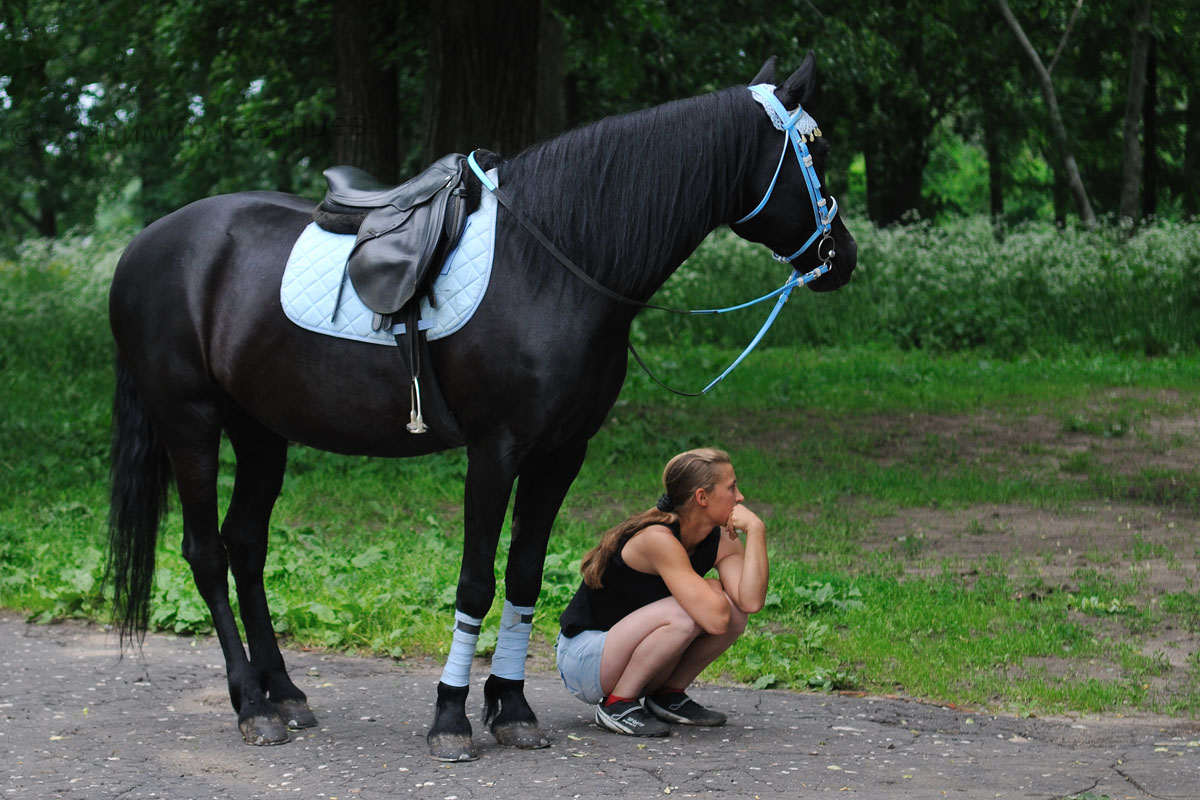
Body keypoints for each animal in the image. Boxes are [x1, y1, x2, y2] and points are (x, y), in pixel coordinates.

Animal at [103, 53, 854, 762]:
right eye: (813, 154)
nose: (841, 257)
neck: (552, 263)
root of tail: (143, 246)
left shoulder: (561, 453)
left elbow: (524, 576)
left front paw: (512, 708)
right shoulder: (495, 450)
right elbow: (474, 583)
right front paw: (450, 718)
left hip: (260, 430)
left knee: (246, 545)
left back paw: (283, 692)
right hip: (191, 423)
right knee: (206, 553)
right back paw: (251, 705)